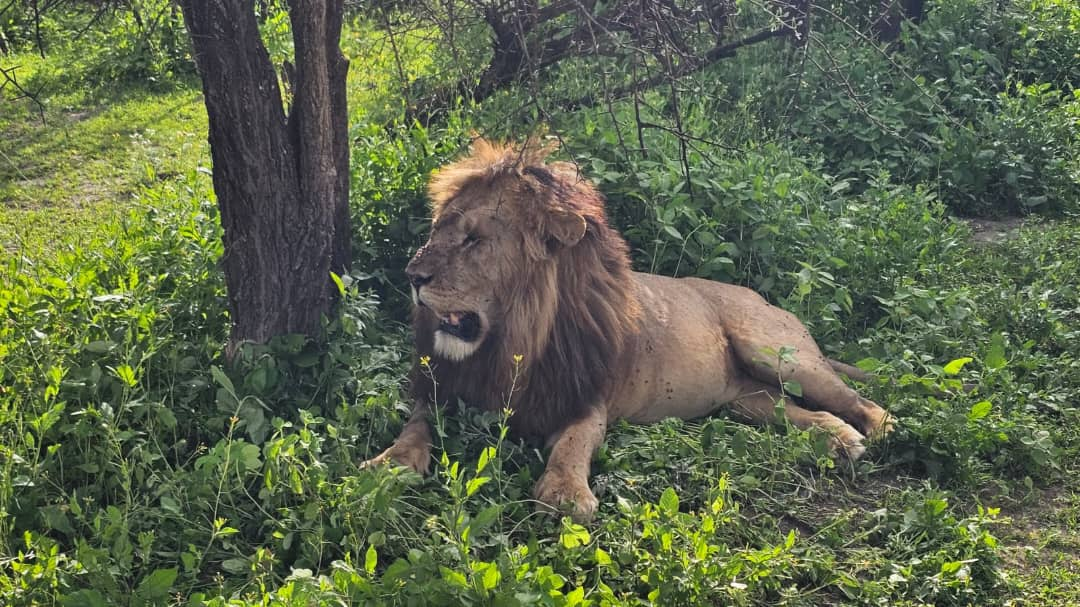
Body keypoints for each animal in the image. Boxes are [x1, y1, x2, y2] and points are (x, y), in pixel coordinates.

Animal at [364, 138, 894, 522]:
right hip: (745, 397)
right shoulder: (441, 388)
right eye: (438, 229)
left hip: (777, 352)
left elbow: (573, 445)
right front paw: (390, 462)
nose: (412, 277)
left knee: (863, 401)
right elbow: (415, 425)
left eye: (474, 239)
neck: (509, 344)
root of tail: (763, 298)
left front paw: (565, 493)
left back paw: (877, 432)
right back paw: (836, 439)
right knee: (793, 410)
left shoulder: (585, 400)